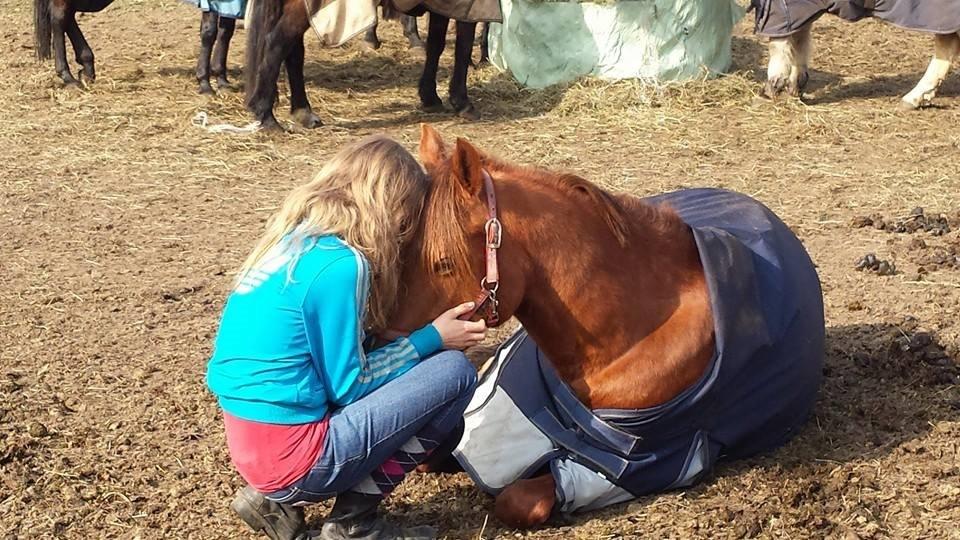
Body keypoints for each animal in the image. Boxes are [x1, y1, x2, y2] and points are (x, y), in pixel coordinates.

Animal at [33, 0, 243, 94]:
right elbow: (209, 32)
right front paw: (205, 83)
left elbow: (226, 31)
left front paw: (222, 80)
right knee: (59, 17)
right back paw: (67, 76)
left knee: (68, 15)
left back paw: (87, 68)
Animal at [245, 0, 487, 131]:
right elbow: (463, 47)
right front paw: (462, 102)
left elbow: (436, 44)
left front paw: (430, 96)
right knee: (276, 44)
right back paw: (266, 117)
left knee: (293, 52)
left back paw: (302, 112)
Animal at [386, 124, 825, 528]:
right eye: (404, 249)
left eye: (443, 262)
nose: (387, 341)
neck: (624, 340)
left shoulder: (630, 465)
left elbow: (516, 499)